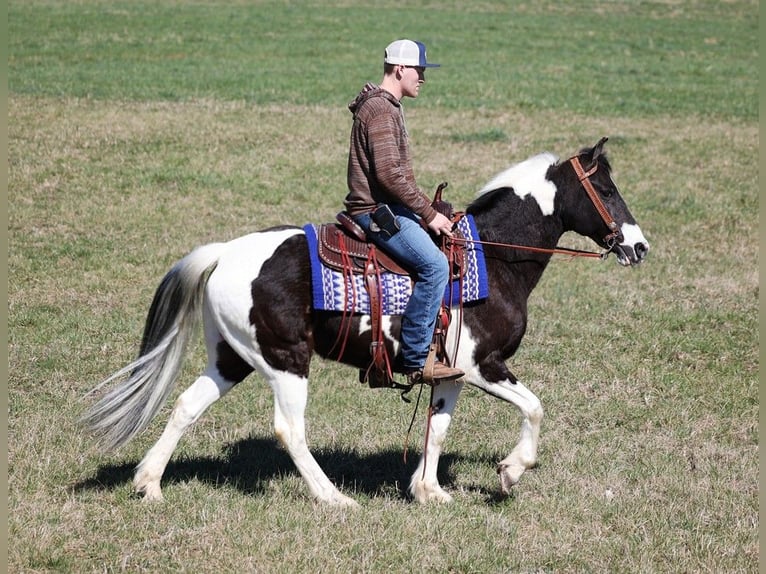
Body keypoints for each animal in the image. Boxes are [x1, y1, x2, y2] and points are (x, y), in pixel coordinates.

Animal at [84, 138, 648, 508]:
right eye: (607, 189)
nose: (639, 246)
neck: (491, 258)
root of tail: (225, 252)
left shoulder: (451, 374)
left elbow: (437, 429)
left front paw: (429, 491)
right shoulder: (484, 365)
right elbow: (534, 407)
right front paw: (510, 472)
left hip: (232, 358)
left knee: (185, 406)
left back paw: (149, 484)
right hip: (287, 360)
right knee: (289, 429)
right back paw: (334, 499)